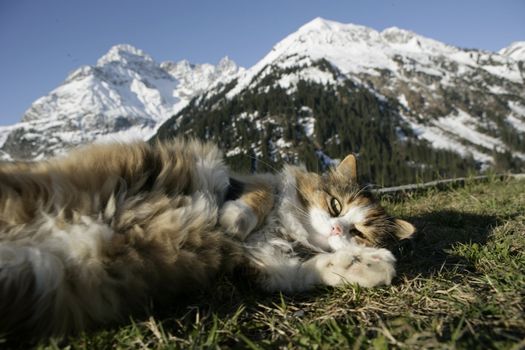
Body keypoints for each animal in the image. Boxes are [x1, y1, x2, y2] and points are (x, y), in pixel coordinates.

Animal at [0, 139, 414, 340]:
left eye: (360, 232)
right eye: (335, 205)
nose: (337, 229)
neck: (284, 230)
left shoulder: (266, 266)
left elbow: (314, 268)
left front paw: (369, 265)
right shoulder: (238, 180)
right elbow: (257, 198)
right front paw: (232, 219)